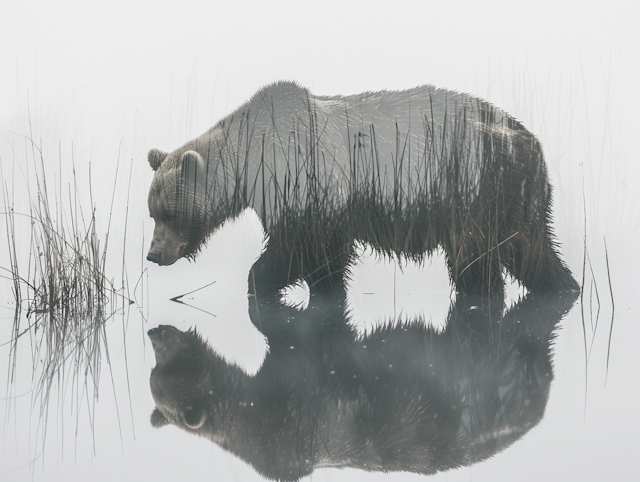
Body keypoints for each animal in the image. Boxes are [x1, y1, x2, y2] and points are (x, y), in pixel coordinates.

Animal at [146, 81, 580, 296]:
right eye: (151, 212)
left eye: (169, 212)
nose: (153, 254)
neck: (254, 159)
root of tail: (532, 144)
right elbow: (327, 262)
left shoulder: (306, 182)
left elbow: (292, 249)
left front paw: (261, 282)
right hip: (519, 202)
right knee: (535, 254)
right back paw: (564, 288)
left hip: (474, 185)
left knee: (475, 261)